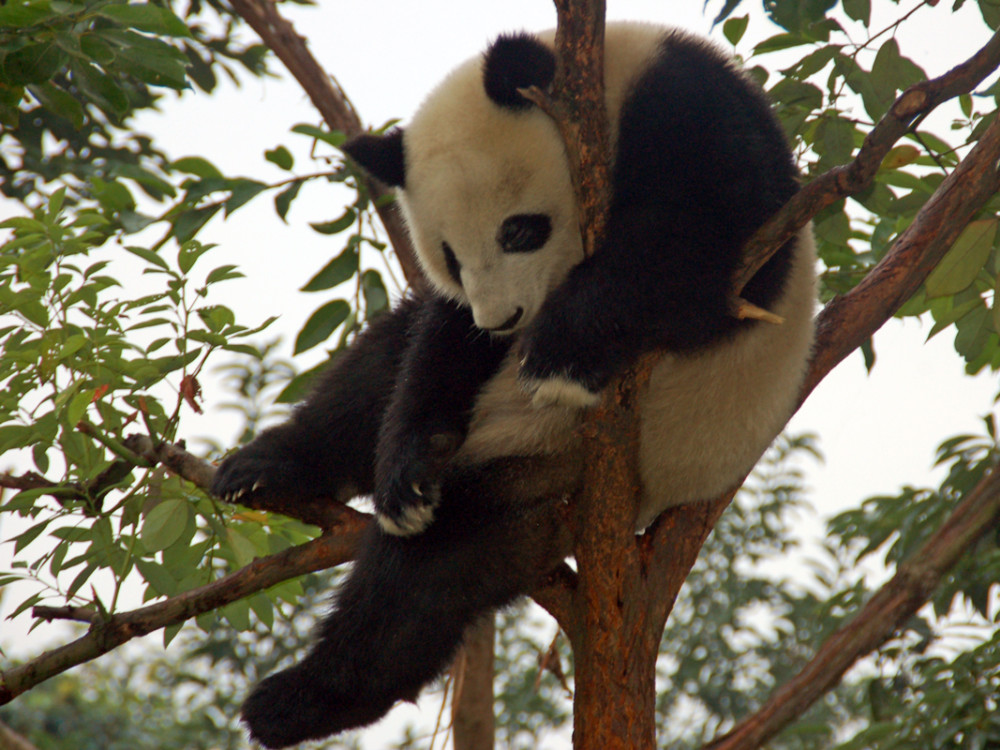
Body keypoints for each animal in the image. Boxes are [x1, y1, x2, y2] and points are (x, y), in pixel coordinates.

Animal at [212, 22, 816, 749]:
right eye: (449, 255)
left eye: (519, 230)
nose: (503, 320)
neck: (602, 96)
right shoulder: (460, 319)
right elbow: (439, 342)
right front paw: (408, 472)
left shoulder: (694, 116)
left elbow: (703, 245)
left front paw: (560, 354)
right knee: (377, 374)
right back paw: (267, 470)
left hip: (550, 476)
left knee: (428, 575)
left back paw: (302, 699)